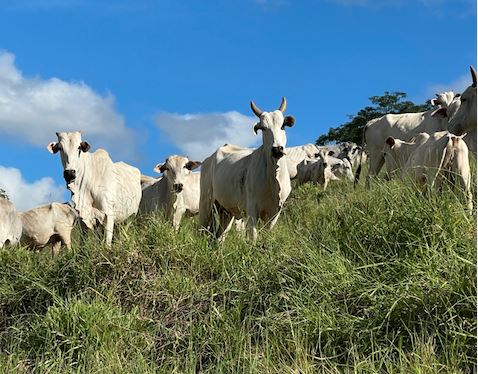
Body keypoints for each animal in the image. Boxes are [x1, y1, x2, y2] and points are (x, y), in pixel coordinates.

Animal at [198, 98, 296, 241]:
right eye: (263, 128)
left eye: (283, 126)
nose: (277, 149)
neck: (273, 178)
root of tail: (207, 160)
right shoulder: (251, 209)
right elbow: (253, 236)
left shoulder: (275, 212)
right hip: (205, 204)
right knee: (201, 229)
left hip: (226, 211)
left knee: (220, 236)